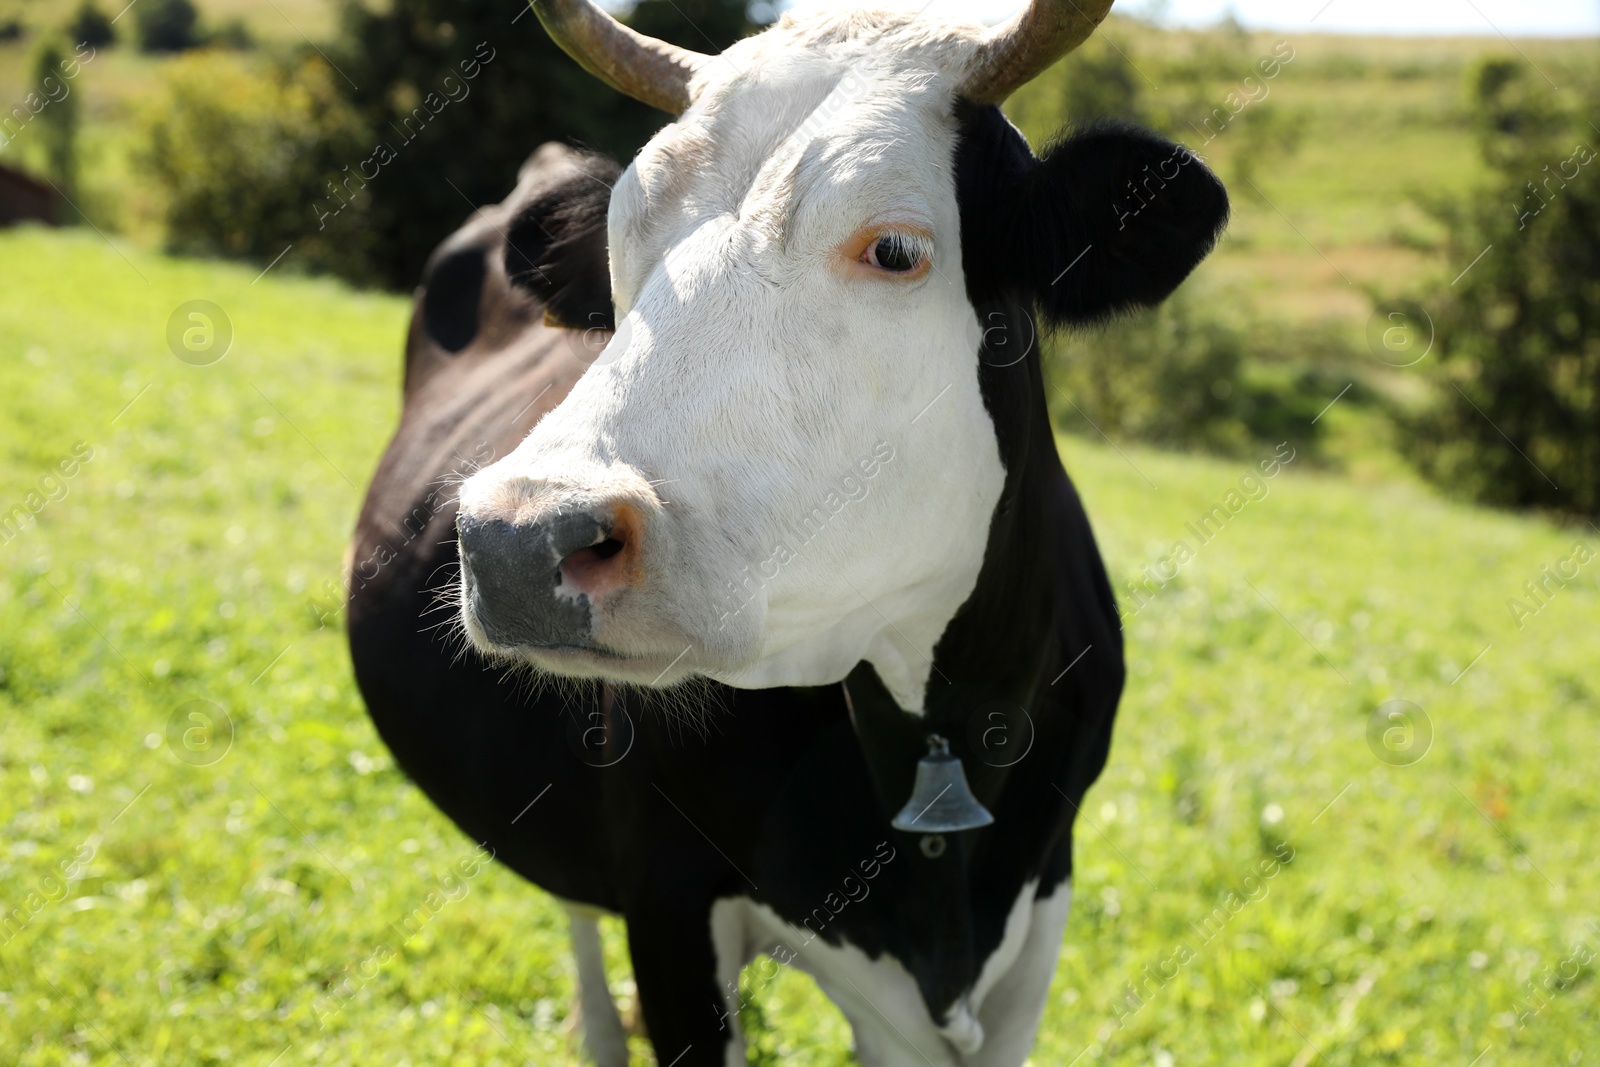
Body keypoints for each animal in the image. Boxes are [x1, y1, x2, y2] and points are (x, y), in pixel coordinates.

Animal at [350, 2, 1222, 1062]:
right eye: (620, 241)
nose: (519, 539)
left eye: (896, 250)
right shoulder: (669, 906)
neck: (942, 727)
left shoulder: (1041, 913)